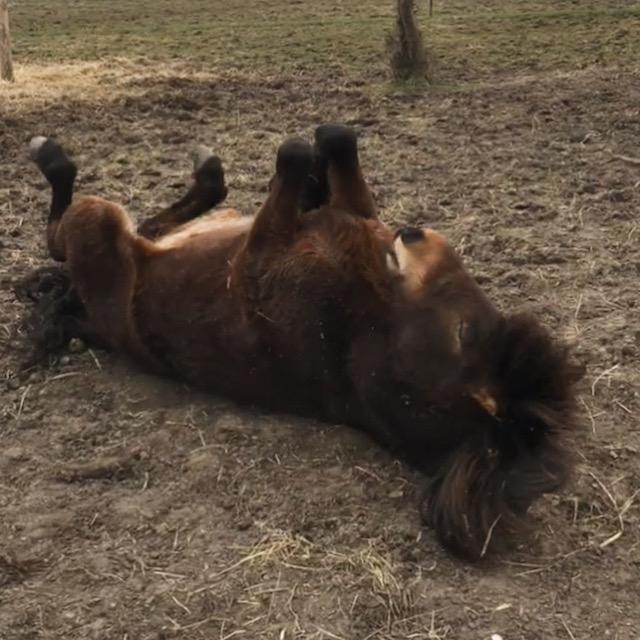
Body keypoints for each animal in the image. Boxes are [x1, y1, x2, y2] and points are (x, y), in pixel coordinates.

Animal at [27, 126, 584, 560]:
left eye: (464, 331)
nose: (413, 234)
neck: (366, 324)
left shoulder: (259, 255)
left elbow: (292, 154)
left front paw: (306, 169)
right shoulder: (350, 216)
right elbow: (337, 146)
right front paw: (321, 167)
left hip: (97, 226)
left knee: (66, 235)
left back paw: (52, 156)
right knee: (158, 222)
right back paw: (208, 172)